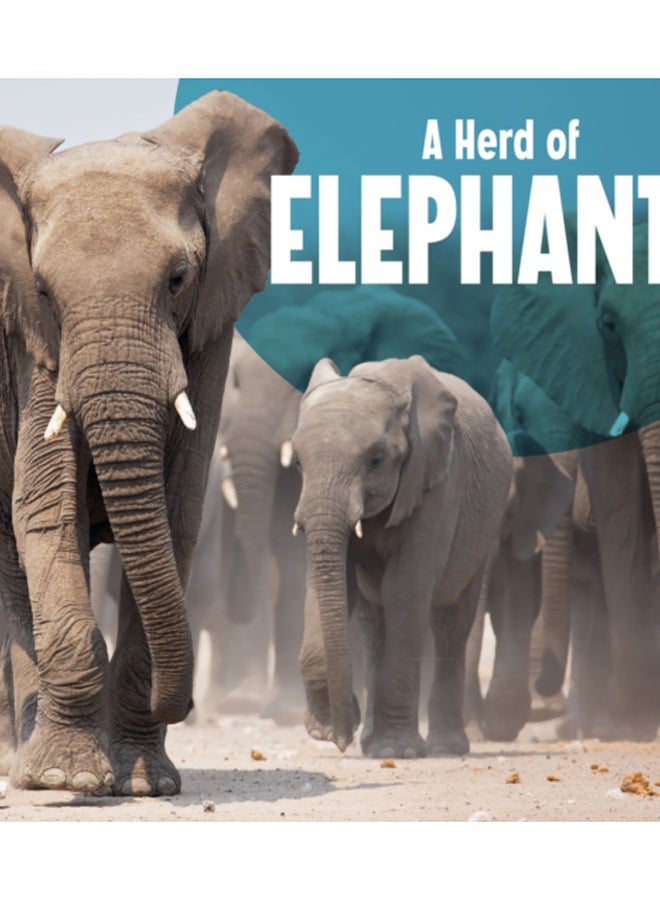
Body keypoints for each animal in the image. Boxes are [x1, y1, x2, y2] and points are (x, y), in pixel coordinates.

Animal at [0, 90, 298, 794]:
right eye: (45, 291)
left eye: (179, 278)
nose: (184, 704)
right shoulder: (30, 339)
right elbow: (45, 505)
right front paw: (68, 780)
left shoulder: (213, 325)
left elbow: (178, 508)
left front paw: (142, 783)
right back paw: (23, 765)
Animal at [291, 355, 513, 758]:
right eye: (298, 463)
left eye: (377, 460)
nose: (341, 739)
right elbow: (326, 583)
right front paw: (326, 729)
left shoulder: (438, 482)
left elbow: (405, 591)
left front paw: (398, 751)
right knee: (373, 623)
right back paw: (373, 743)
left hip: (486, 525)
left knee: (451, 624)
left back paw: (444, 748)